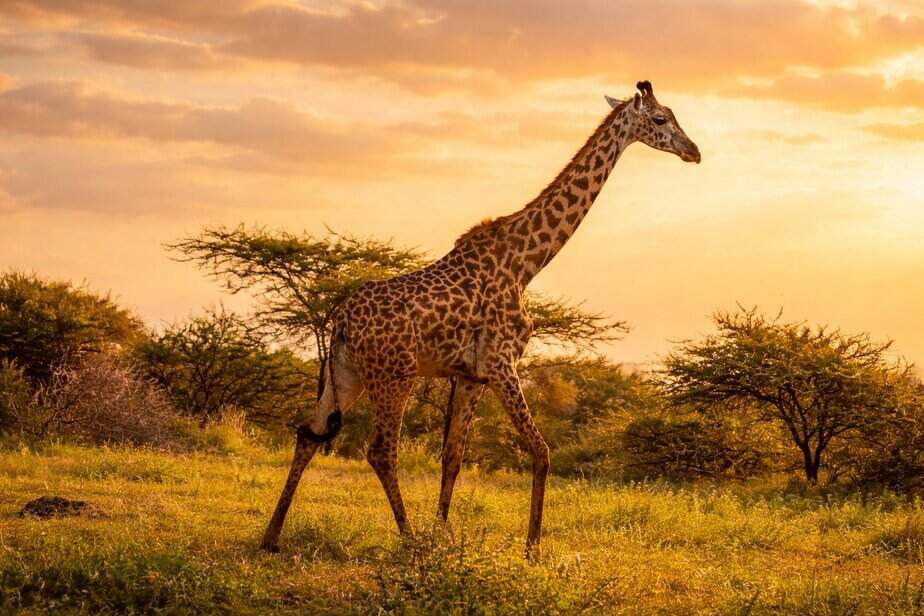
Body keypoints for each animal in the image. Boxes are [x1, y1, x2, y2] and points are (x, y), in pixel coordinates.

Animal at [261, 80, 700, 557]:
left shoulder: (470, 375)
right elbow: (540, 450)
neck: (526, 263)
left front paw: (443, 533)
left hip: (347, 374)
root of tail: (340, 321)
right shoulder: (501, 363)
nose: (693, 151)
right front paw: (531, 549)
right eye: (660, 119)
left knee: (308, 434)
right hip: (394, 375)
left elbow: (453, 456)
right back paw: (408, 539)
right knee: (379, 450)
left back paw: (272, 537)